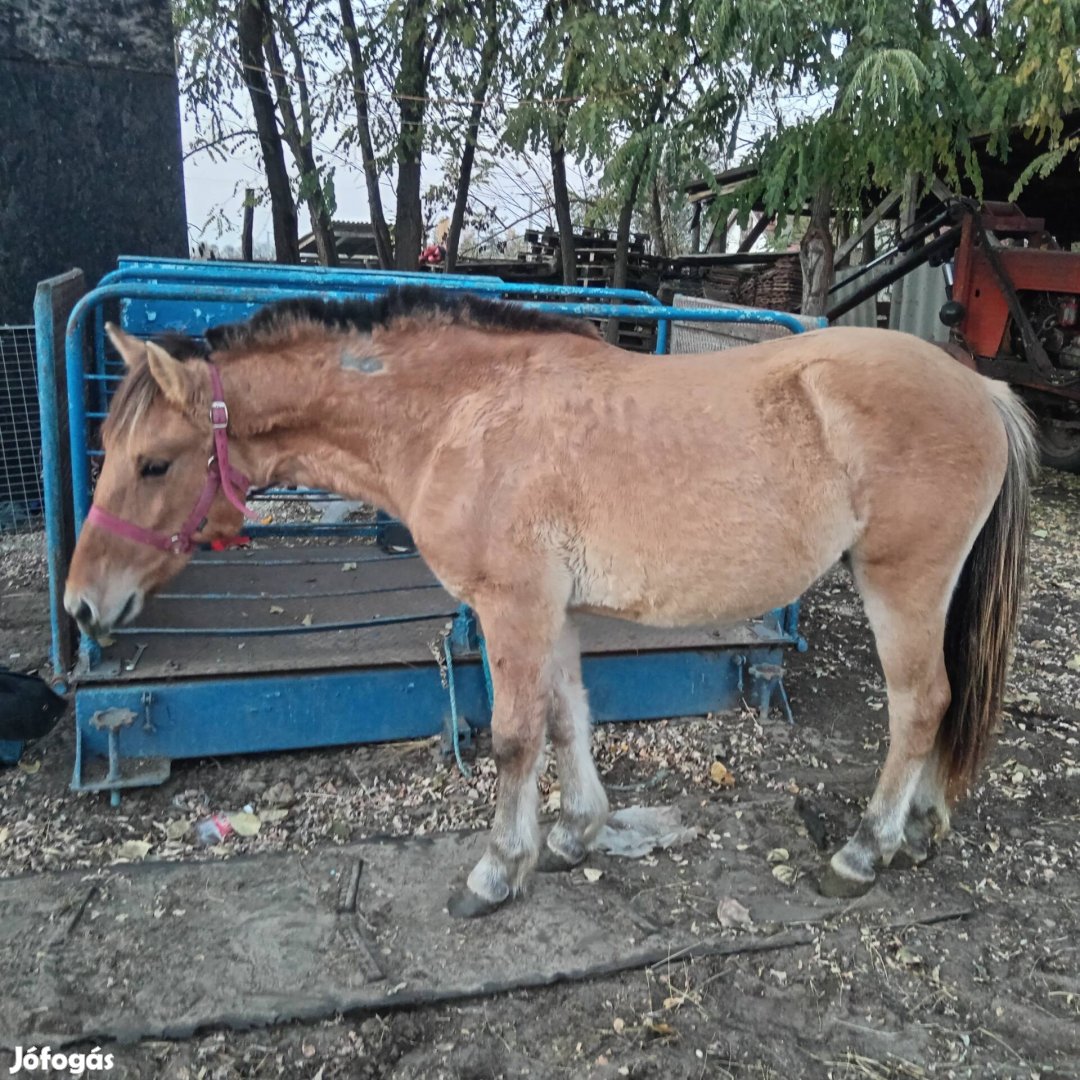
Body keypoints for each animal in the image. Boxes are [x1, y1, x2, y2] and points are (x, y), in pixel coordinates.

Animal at [61, 289, 1036, 920]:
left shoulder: (512, 609)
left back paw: (864, 851)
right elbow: (570, 722)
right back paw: (918, 829)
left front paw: (498, 871)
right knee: (939, 708)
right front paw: (574, 835)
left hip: (902, 584)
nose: (80, 607)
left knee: (922, 705)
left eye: (153, 462)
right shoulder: (552, 613)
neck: (461, 416)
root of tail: (981, 390)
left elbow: (513, 739)